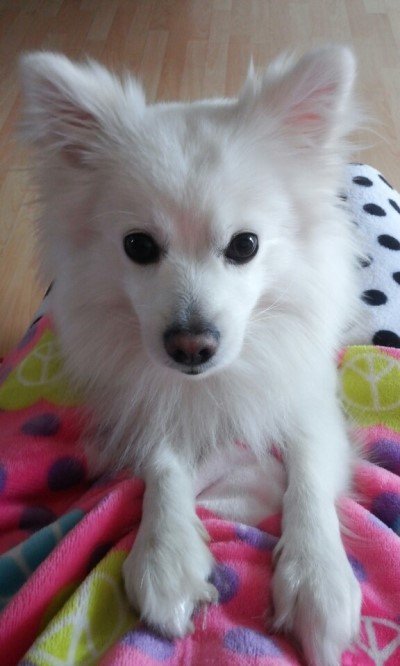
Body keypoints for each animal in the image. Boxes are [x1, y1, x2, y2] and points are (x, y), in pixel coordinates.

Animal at [19, 45, 362, 665]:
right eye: (138, 246)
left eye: (245, 246)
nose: (191, 344)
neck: (208, 386)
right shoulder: (144, 402)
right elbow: (162, 459)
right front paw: (165, 557)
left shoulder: (309, 397)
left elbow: (308, 471)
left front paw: (318, 579)